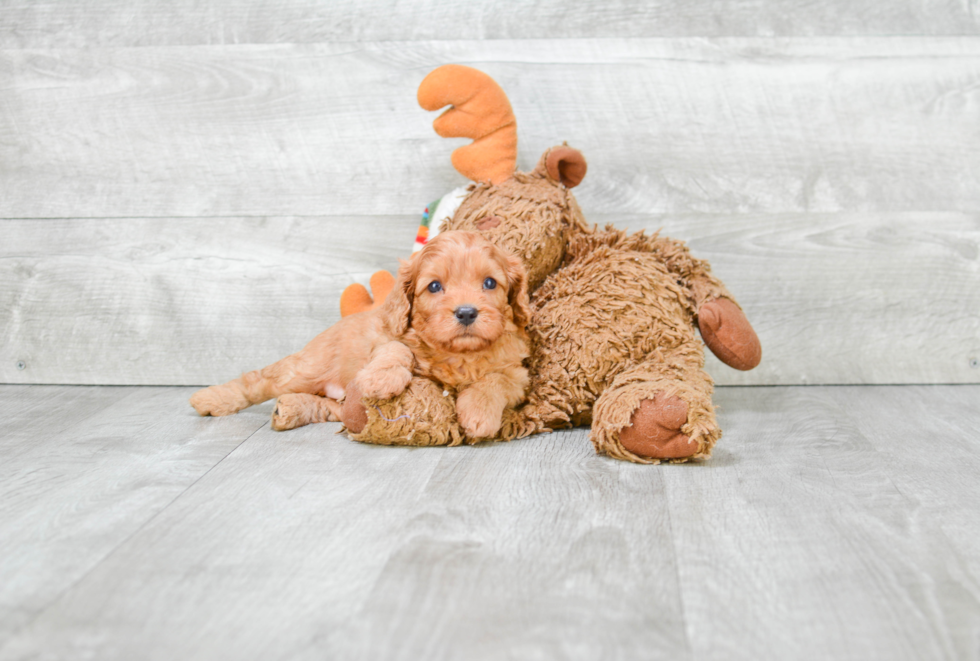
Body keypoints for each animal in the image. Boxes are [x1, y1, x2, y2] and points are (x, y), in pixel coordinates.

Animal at [189, 231, 528, 438]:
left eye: (489, 283)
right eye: (434, 286)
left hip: (336, 399)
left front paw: (479, 412)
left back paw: (289, 410)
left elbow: (496, 380)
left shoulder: (518, 374)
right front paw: (383, 379)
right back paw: (211, 398)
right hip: (305, 369)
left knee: (333, 409)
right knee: (257, 380)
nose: (467, 312)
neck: (457, 355)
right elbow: (397, 349)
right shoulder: (386, 337)